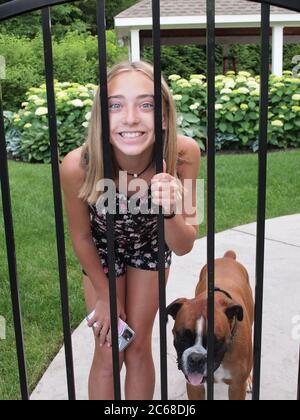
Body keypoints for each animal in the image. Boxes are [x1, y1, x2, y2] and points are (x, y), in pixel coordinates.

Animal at [166, 251, 253, 398]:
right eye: (183, 337)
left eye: (215, 340)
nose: (196, 359)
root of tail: (227, 257)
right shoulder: (194, 386)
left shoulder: (237, 387)